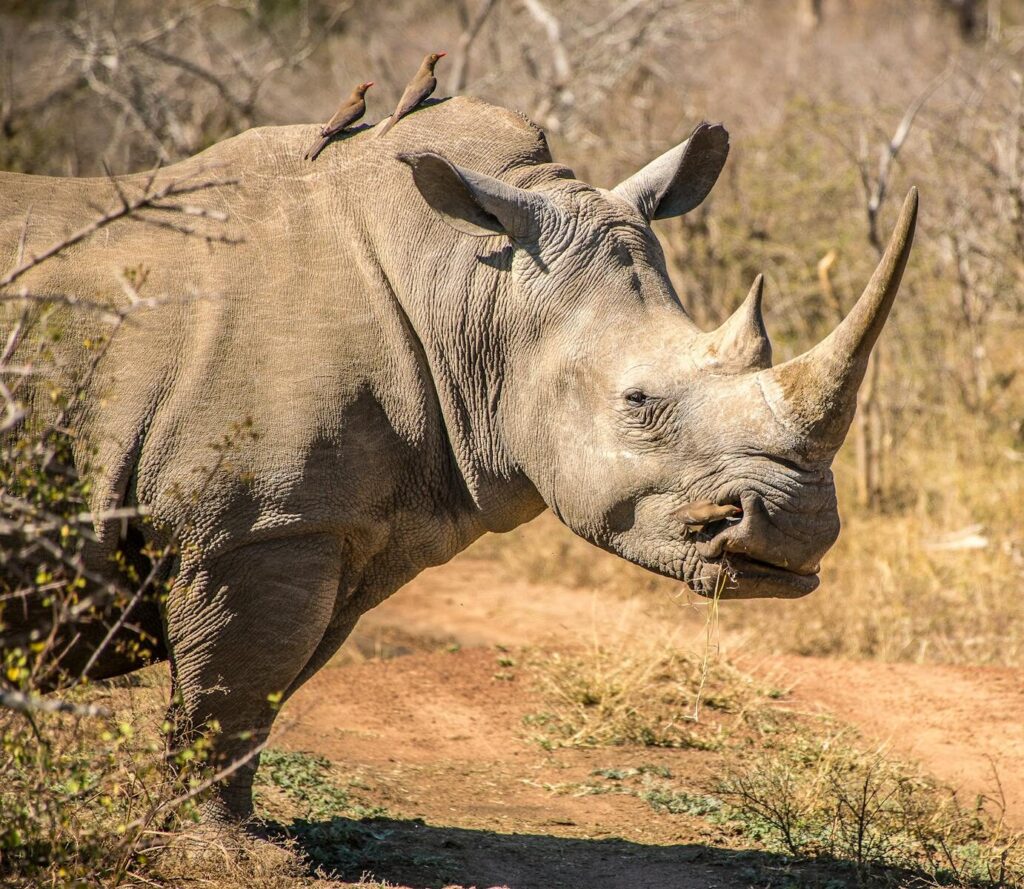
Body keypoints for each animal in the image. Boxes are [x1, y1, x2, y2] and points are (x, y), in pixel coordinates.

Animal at [0, 96, 917, 828]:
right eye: (639, 402)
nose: (795, 531)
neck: (471, 289)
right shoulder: (257, 521)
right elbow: (231, 690)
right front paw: (215, 846)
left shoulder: (328, 522)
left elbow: (263, 686)